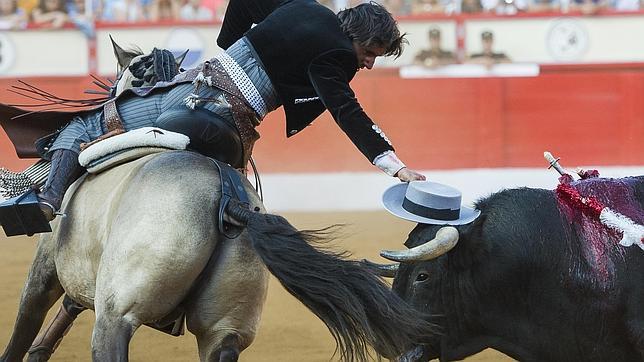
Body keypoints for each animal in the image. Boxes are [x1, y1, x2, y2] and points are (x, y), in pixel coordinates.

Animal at [2, 148, 436, 360]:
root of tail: (232, 202)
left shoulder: (45, 267)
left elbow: (26, 322)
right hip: (226, 327)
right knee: (222, 345)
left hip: (118, 315)